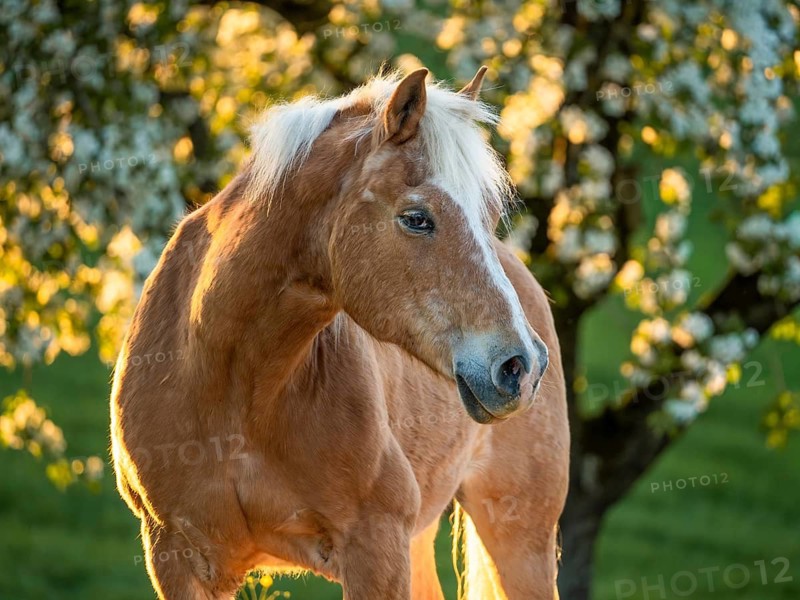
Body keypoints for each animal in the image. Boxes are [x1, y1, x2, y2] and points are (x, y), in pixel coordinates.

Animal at [110, 66, 569, 600]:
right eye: (416, 218)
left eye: (491, 217)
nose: (522, 366)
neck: (230, 389)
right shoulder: (176, 558)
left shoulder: (376, 551)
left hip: (519, 537)